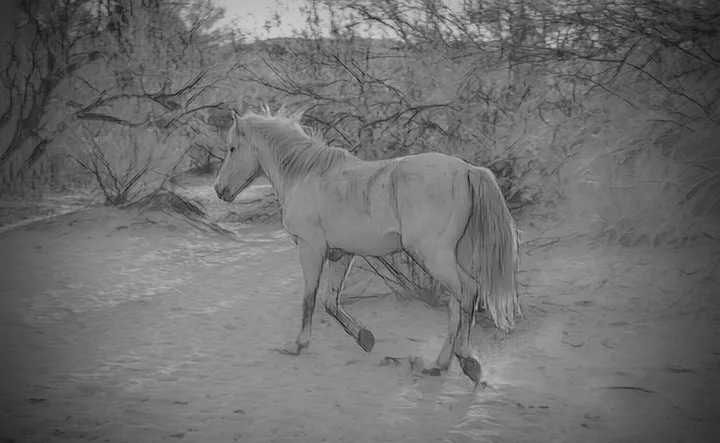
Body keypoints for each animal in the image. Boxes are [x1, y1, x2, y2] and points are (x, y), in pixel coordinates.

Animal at [213, 105, 522, 385]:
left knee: (468, 292)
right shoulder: (341, 255)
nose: (219, 190)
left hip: (434, 256)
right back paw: (438, 365)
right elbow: (330, 302)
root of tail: (466, 170)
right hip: (451, 257)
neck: (306, 175)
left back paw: (467, 361)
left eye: (232, 148)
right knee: (457, 306)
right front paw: (365, 338)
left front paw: (297, 345)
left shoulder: (310, 249)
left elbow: (309, 298)